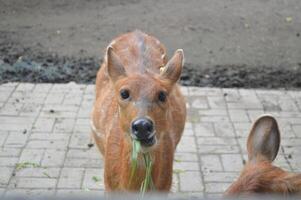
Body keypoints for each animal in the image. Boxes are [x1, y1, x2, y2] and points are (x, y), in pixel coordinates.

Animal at [90, 30, 186, 191]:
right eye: (124, 93)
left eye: (162, 95)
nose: (142, 126)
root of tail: (136, 32)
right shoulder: (108, 185)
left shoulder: (166, 186)